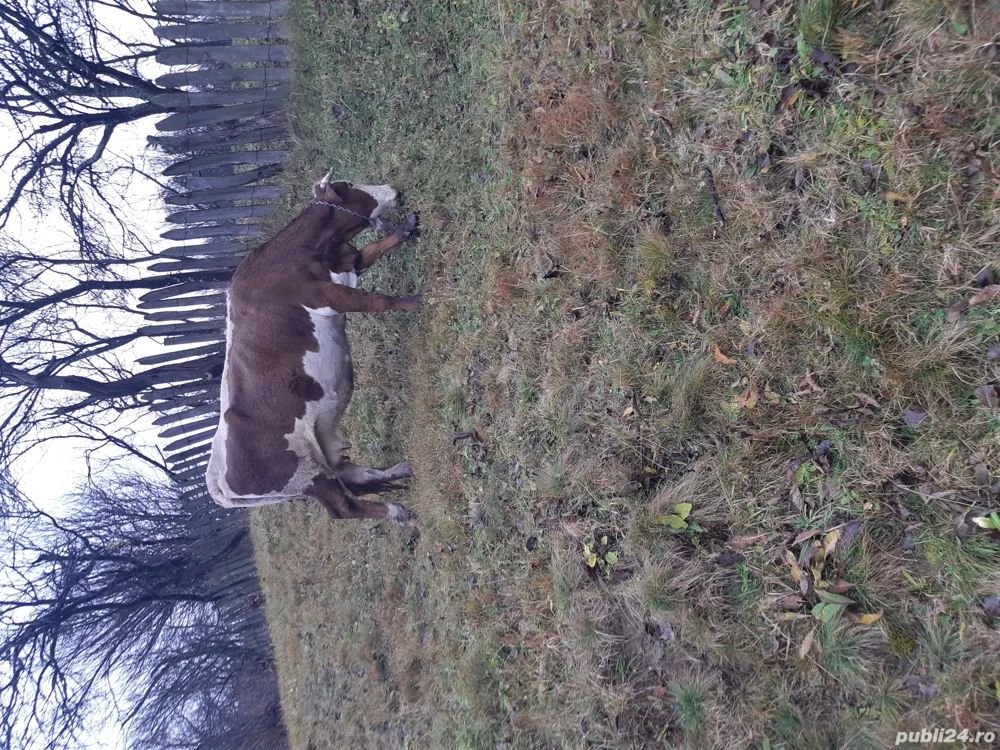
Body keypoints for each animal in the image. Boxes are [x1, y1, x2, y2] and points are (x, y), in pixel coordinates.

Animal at [205, 169, 420, 523]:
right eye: (350, 186)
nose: (394, 189)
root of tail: (217, 483)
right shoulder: (328, 295)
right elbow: (377, 301)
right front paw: (415, 303)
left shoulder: (349, 262)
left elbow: (374, 247)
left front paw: (404, 228)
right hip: (305, 474)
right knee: (343, 507)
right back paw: (397, 512)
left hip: (318, 456)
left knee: (356, 475)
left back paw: (402, 471)